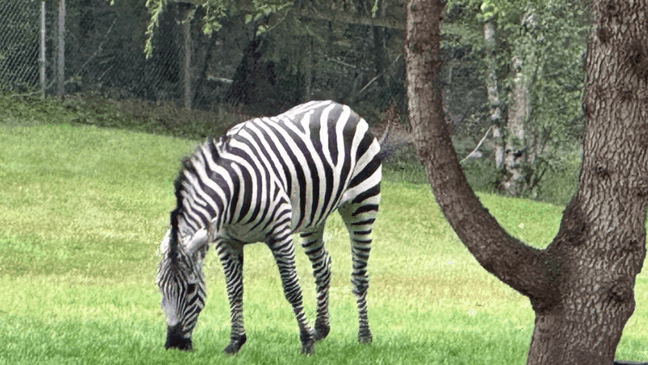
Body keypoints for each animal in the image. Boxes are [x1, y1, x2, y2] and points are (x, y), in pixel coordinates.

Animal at [156, 99, 384, 352]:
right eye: (160, 287)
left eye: (191, 288)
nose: (174, 344)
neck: (234, 190)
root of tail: (340, 106)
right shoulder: (226, 241)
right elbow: (234, 290)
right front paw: (235, 342)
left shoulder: (279, 233)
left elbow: (292, 288)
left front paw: (306, 343)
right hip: (313, 217)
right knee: (323, 266)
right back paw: (321, 329)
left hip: (363, 203)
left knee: (359, 274)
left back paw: (364, 336)